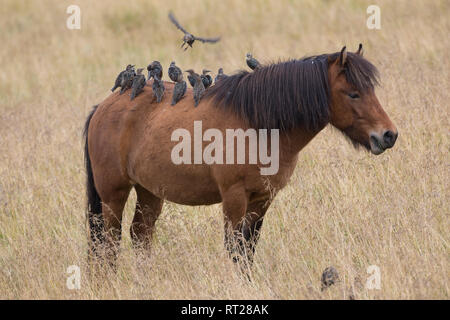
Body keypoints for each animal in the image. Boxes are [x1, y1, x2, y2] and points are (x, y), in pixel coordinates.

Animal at [83, 46, 398, 268]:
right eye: (353, 94)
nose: (388, 135)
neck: (258, 124)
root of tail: (102, 108)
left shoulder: (263, 198)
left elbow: (248, 249)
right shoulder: (234, 197)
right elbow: (235, 248)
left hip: (149, 192)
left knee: (140, 236)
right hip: (113, 194)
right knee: (108, 242)